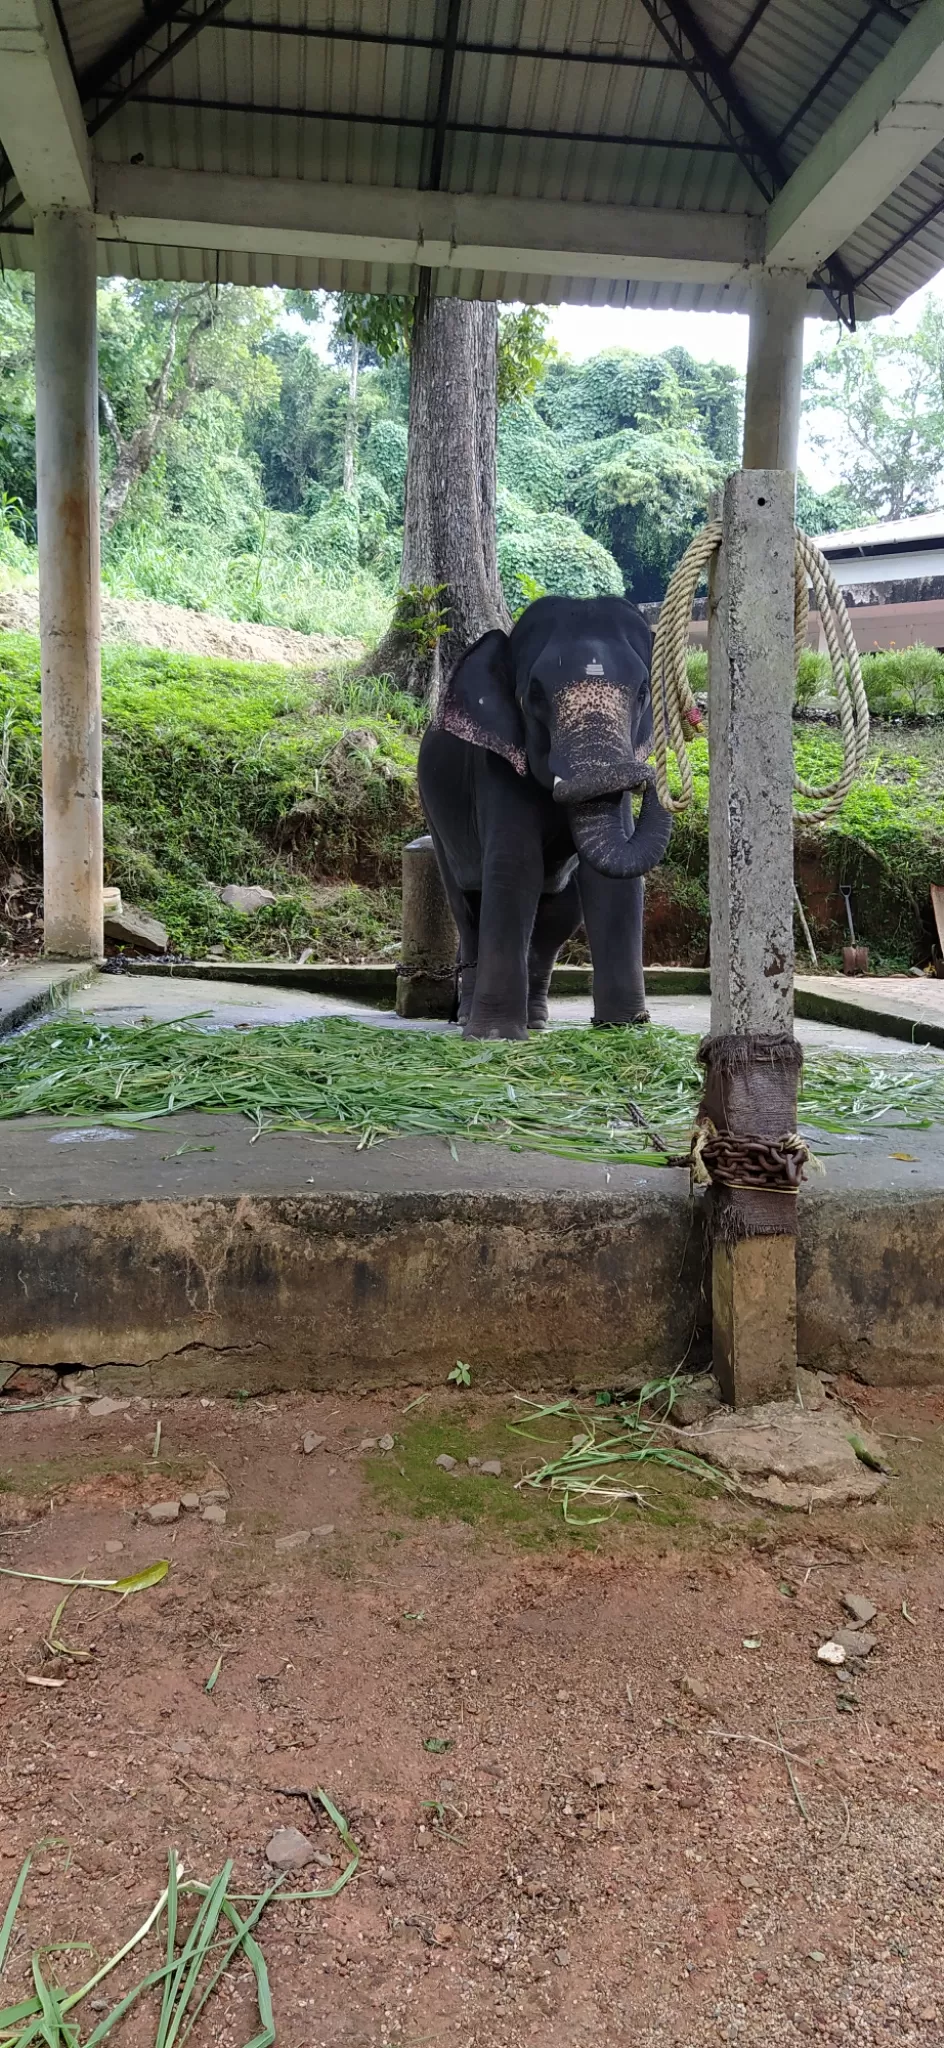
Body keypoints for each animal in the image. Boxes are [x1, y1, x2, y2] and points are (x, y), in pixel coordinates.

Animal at [415, 593, 671, 1040]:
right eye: (534, 694)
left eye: (643, 692)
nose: (650, 775)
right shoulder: (497, 763)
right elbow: (515, 867)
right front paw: (495, 1037)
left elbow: (612, 882)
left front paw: (624, 1029)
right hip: (434, 816)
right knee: (467, 904)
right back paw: (468, 1018)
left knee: (557, 912)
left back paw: (534, 1021)